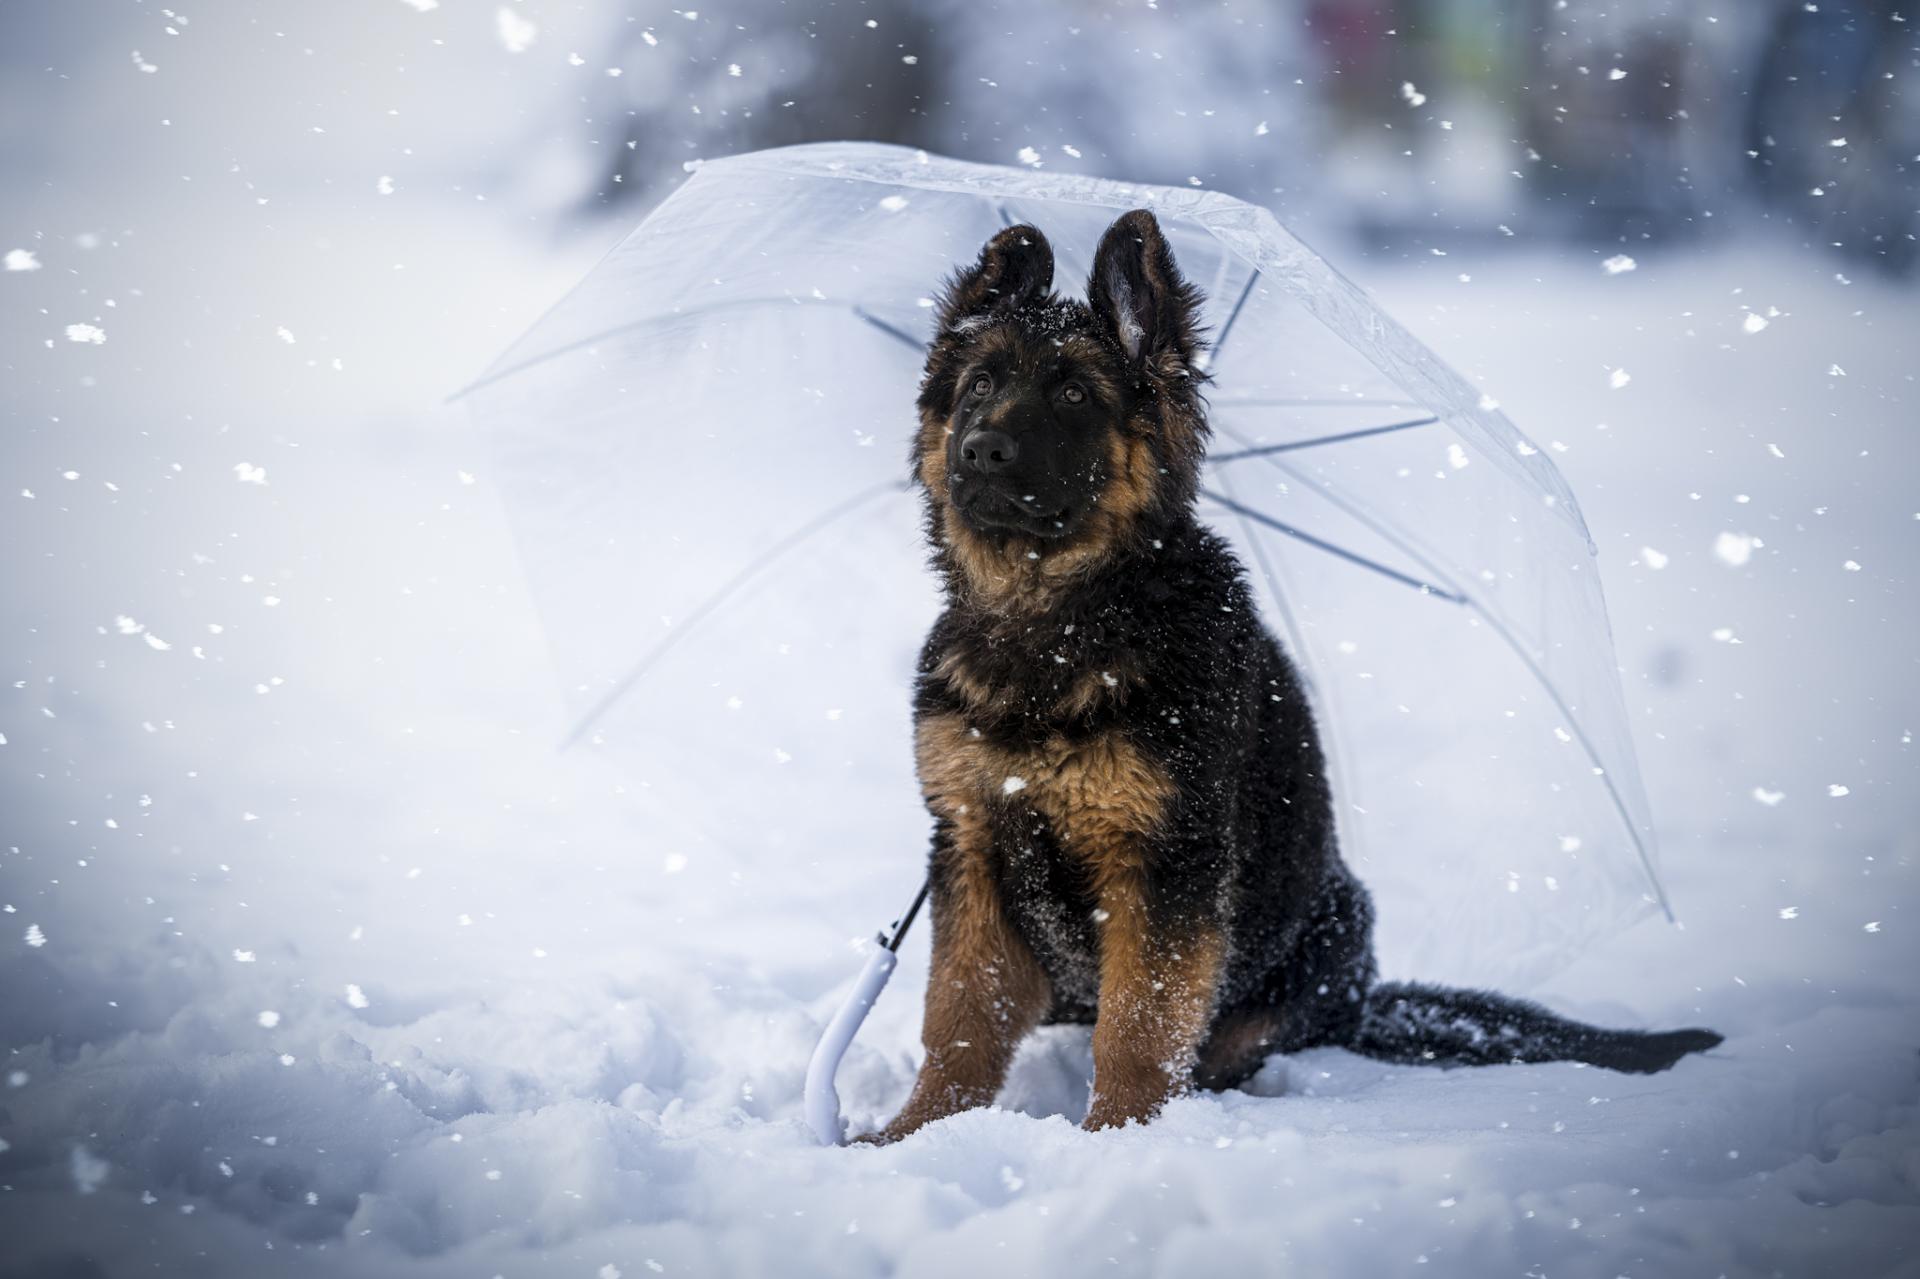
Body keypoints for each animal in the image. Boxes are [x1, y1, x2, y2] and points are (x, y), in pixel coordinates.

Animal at [871, 209, 1728, 1136]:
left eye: (1073, 396)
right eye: (980, 384)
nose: (980, 450)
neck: (1055, 625)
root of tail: (1363, 1003)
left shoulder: (1164, 861)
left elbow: (1138, 1025)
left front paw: (1116, 1136)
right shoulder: (972, 848)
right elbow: (960, 1017)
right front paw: (913, 1134)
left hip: (1334, 924)